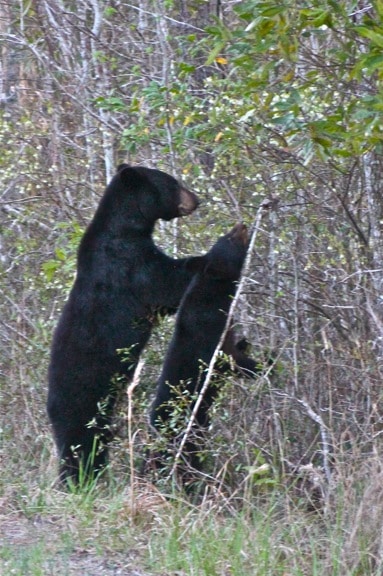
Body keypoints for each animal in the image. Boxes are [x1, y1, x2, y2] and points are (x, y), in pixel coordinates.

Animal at [47, 164, 201, 484]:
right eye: (173, 183)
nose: (196, 199)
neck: (127, 225)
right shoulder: (127, 262)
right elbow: (167, 281)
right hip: (83, 398)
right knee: (80, 441)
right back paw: (79, 480)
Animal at [148, 223, 260, 480]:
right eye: (229, 239)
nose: (242, 224)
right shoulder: (209, 333)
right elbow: (230, 362)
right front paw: (267, 364)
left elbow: (235, 350)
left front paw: (246, 343)